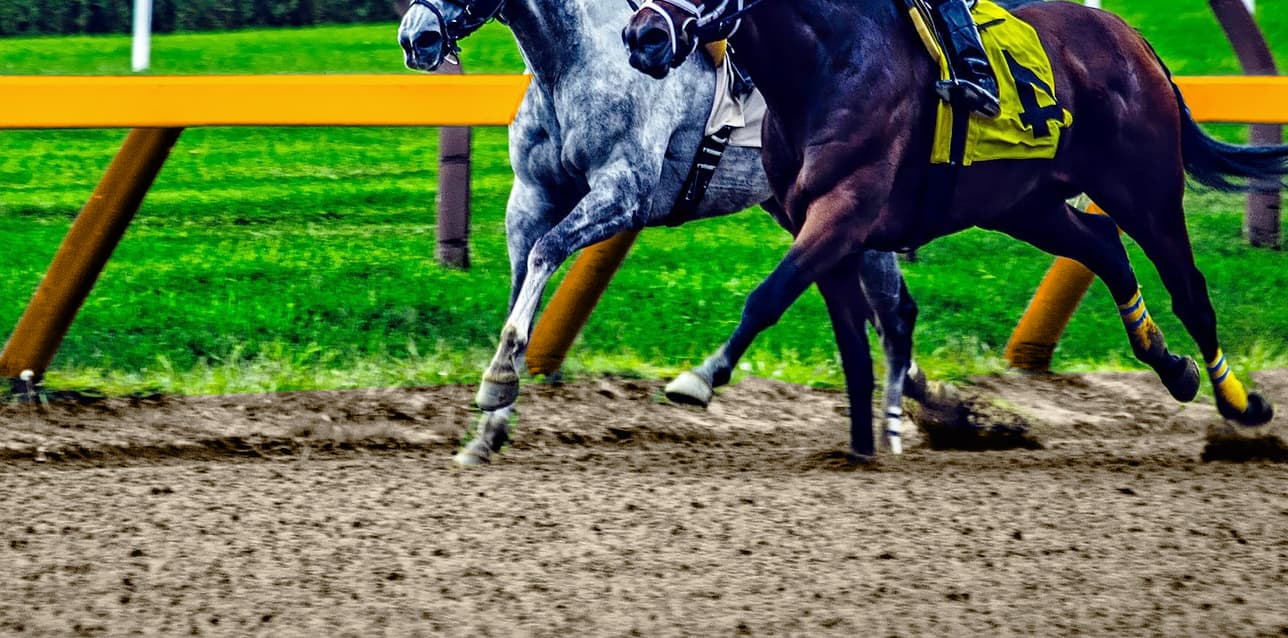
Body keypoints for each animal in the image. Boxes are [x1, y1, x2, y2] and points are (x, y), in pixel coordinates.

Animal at [398, 0, 936, 465]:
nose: (414, 37)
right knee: (893, 313)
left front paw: (498, 379)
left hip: (847, 208)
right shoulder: (533, 197)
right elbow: (520, 285)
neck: (573, 59)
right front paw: (488, 429)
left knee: (894, 317)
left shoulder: (622, 194)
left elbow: (545, 254)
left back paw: (897, 428)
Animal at [623, 0, 1283, 461]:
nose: (641, 36)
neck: (824, 64)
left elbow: (767, 297)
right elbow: (853, 343)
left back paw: (1241, 406)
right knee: (1104, 248)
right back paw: (1173, 368)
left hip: (1144, 191)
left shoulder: (844, 211)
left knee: (1190, 292)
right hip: (1024, 204)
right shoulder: (821, 228)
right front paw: (863, 446)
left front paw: (700, 378)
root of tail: (1132, 37)